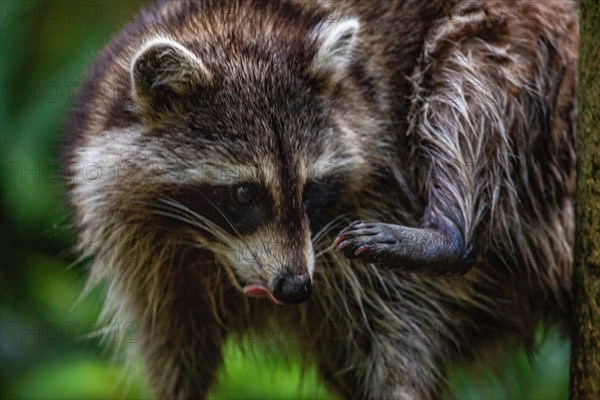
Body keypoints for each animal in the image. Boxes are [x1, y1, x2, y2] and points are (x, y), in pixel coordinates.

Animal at [63, 0, 580, 398]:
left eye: (311, 190)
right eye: (243, 193)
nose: (295, 287)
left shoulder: (386, 190)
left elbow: (406, 324)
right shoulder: (153, 272)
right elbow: (176, 356)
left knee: (467, 80)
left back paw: (450, 233)